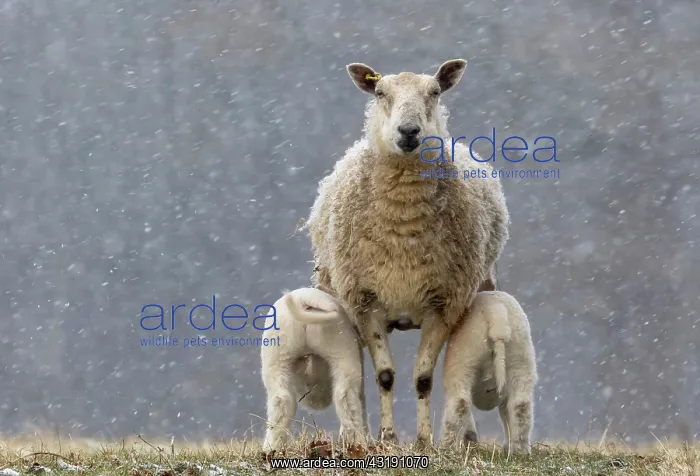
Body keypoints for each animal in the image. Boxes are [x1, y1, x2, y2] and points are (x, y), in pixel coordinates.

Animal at [260, 287, 369, 454]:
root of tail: (303, 299)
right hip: (341, 348)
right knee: (345, 396)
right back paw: (358, 444)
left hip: (277, 354)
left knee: (281, 399)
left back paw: (272, 448)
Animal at [305, 59, 510, 446]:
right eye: (380, 92)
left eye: (435, 92)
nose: (409, 131)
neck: (404, 224)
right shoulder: (365, 302)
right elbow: (384, 375)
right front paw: (387, 438)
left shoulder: (443, 304)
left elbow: (424, 379)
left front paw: (424, 440)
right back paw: (356, 434)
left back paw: (469, 438)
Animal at [439, 291, 537, 454]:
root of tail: (496, 312)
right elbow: (506, 413)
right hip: (520, 358)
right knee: (521, 405)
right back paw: (519, 451)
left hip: (464, 359)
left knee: (460, 402)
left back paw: (447, 448)